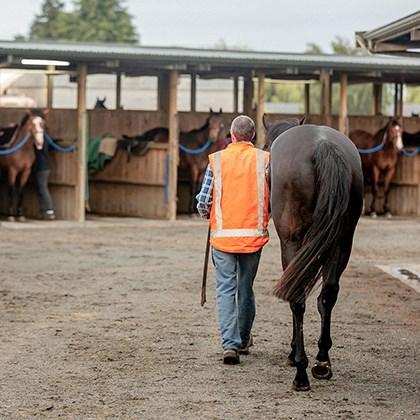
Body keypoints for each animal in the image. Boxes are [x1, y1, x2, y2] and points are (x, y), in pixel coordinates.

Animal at [266, 120, 364, 392]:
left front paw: (293, 355)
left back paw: (301, 370)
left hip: (294, 243)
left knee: (297, 298)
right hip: (342, 242)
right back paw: (322, 362)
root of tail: (322, 144)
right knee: (328, 294)